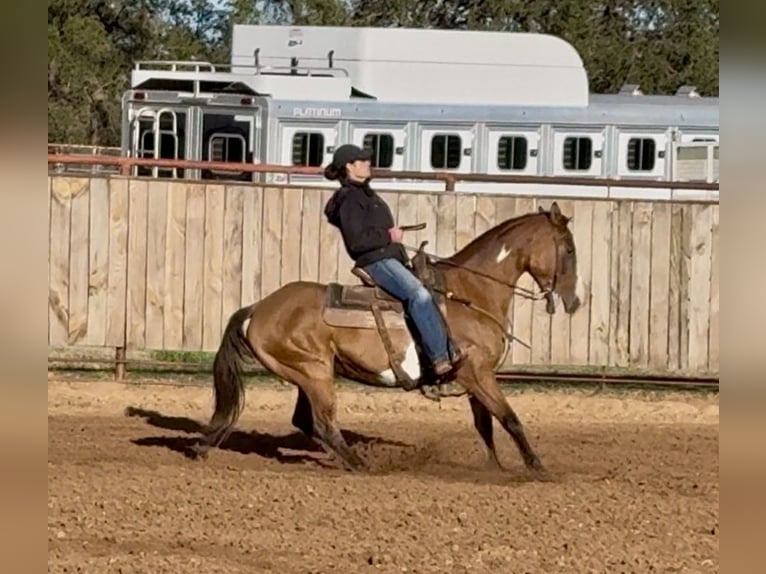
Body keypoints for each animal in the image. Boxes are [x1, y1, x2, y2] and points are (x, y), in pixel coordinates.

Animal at [192, 200, 582, 475]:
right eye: (569, 249)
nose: (573, 302)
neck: (471, 292)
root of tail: (257, 309)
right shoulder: (477, 374)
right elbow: (510, 419)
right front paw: (538, 469)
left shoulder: (476, 377)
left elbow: (486, 425)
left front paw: (496, 469)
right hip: (314, 372)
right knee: (323, 423)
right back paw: (362, 465)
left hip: (311, 374)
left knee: (307, 422)